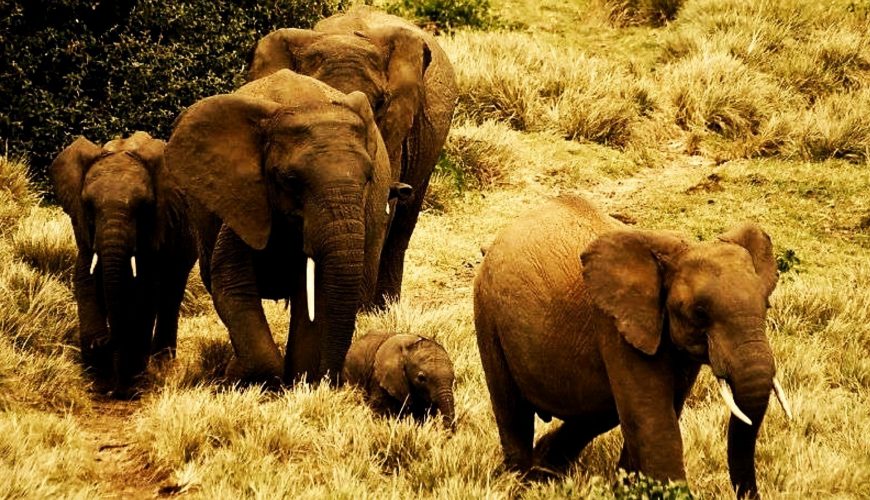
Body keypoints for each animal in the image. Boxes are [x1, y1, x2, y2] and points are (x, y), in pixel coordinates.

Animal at [50, 131, 196, 398]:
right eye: (88, 205)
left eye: (143, 206)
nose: (104, 340)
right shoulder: (83, 230)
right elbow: (85, 279)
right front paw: (98, 383)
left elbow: (146, 289)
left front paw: (130, 386)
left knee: (171, 292)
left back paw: (162, 364)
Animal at [165, 69, 403, 386]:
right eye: (290, 180)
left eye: (368, 178)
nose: (335, 379)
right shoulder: (244, 198)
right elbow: (231, 283)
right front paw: (236, 375)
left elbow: (314, 295)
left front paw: (300, 382)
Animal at [473, 195, 792, 499]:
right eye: (700, 313)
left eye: (766, 306)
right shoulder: (615, 326)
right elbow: (653, 421)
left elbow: (658, 410)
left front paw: (627, 489)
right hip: (486, 309)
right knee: (511, 407)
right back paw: (520, 481)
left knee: (597, 412)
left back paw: (545, 469)